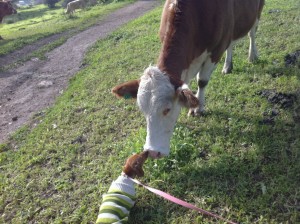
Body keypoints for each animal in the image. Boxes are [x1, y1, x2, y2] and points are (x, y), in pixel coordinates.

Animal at [111, 0, 264, 158]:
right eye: (143, 110)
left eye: (167, 109)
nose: (152, 152)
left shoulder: (216, 50)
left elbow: (202, 81)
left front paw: (197, 108)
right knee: (232, 43)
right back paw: (227, 66)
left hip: (258, 11)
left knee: (252, 33)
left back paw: (252, 55)